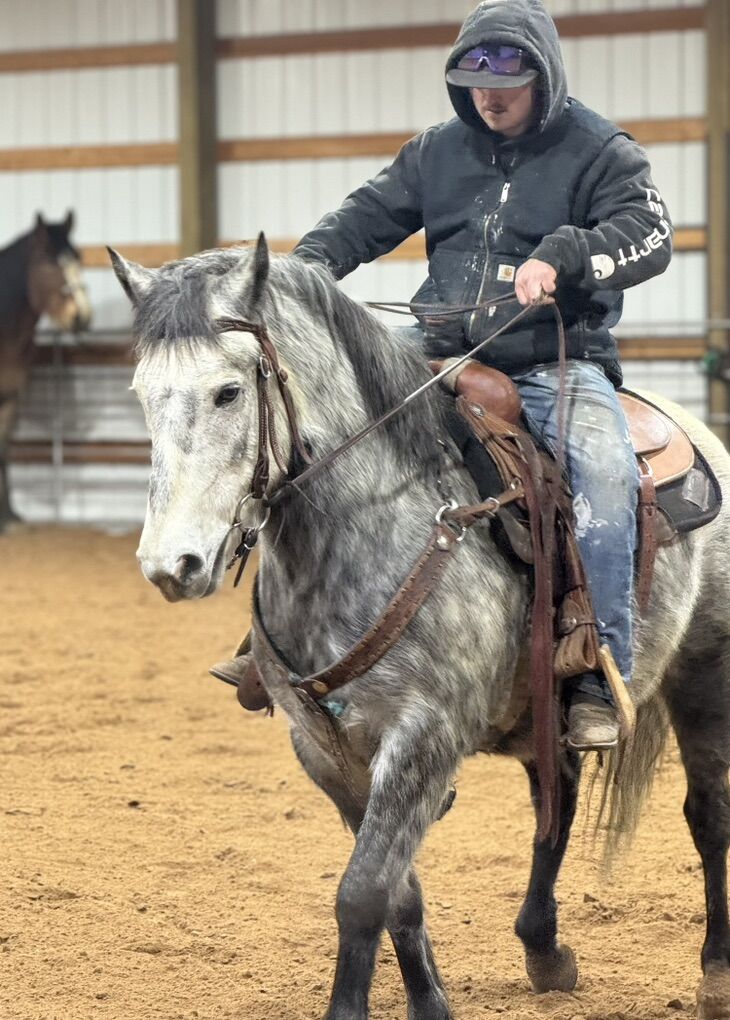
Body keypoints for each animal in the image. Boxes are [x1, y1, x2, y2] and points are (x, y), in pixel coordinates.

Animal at [0, 212, 91, 531]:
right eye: (48, 262)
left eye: (77, 258)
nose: (80, 317)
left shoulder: (11, 397)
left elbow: (3, 448)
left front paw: (8, 516)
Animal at [109, 235, 730, 1020]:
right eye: (142, 394)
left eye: (228, 391)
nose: (171, 565)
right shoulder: (324, 749)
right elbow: (397, 894)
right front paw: (430, 1002)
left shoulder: (423, 738)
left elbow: (362, 892)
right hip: (543, 709)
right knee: (554, 802)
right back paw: (545, 950)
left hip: (705, 673)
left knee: (708, 813)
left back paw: (715, 972)